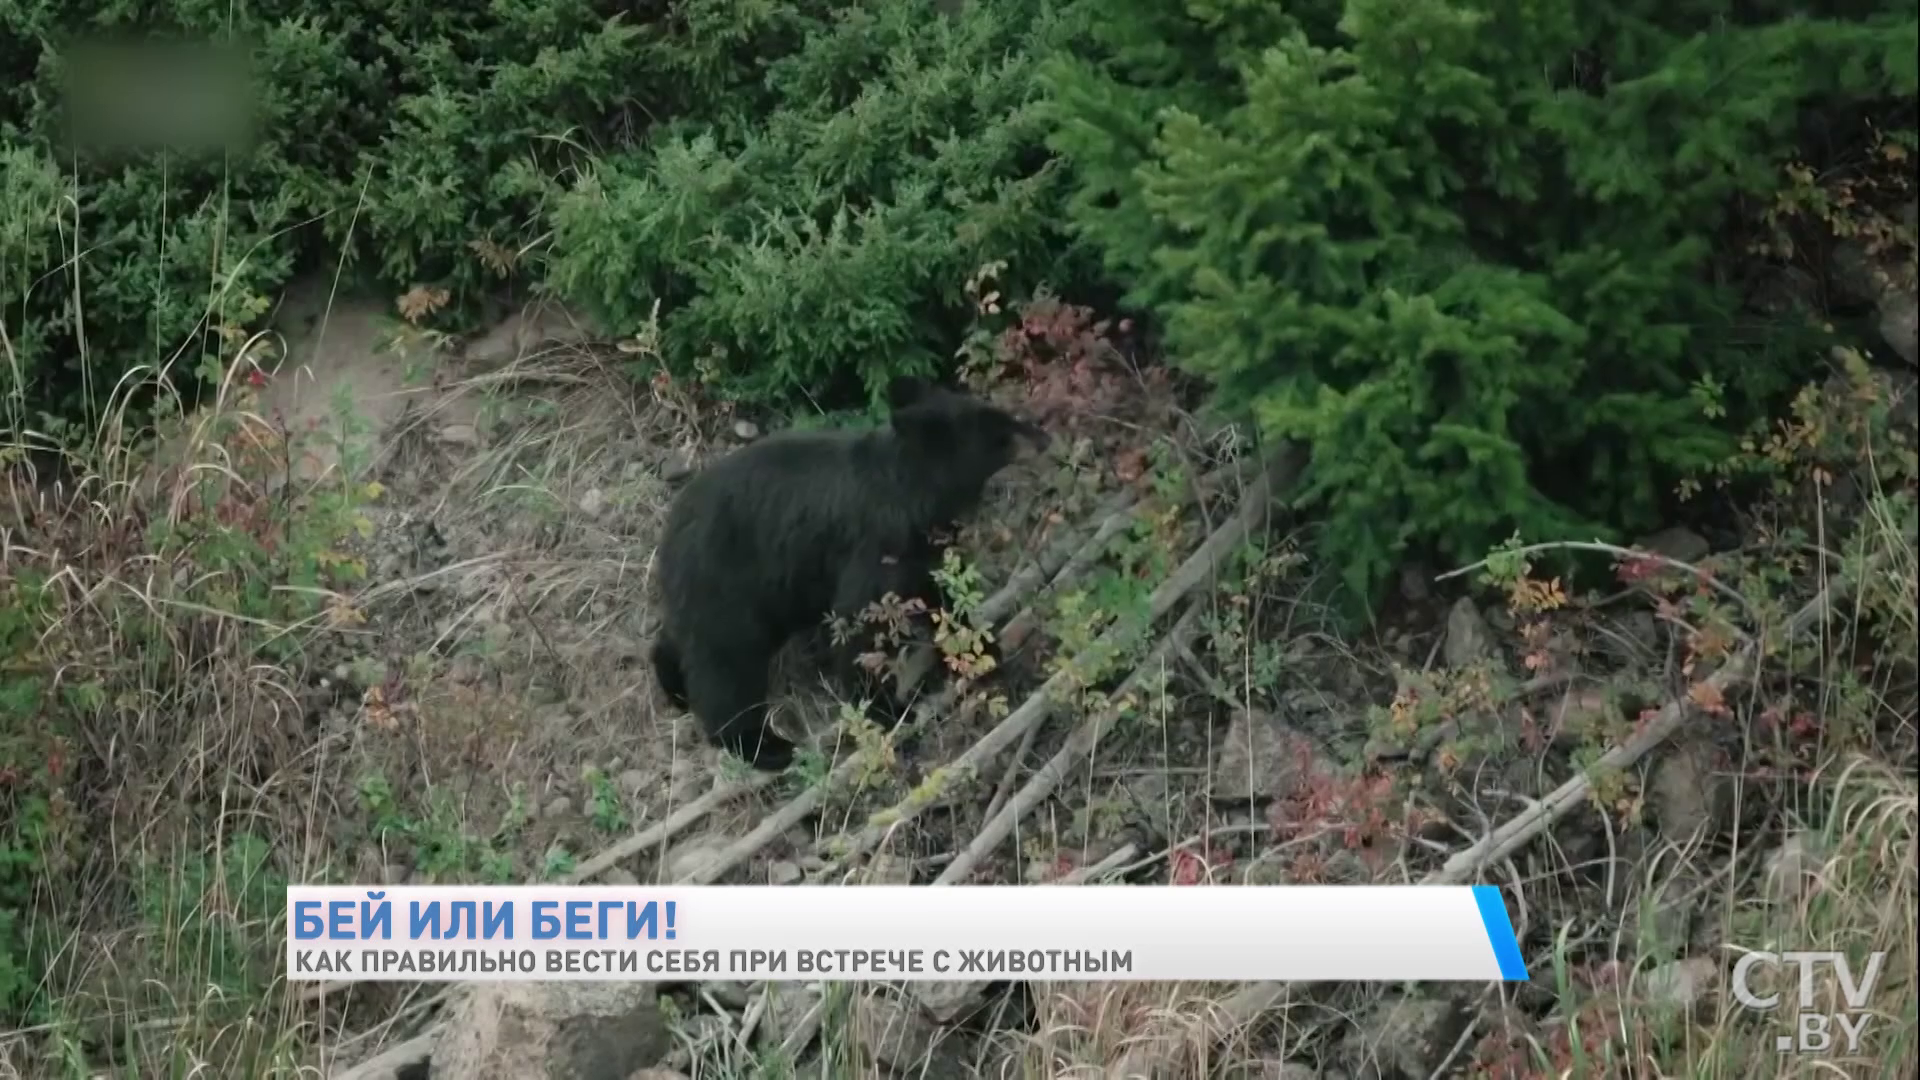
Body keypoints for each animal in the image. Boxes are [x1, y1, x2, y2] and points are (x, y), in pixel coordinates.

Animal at [656, 376, 1052, 764]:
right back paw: (763, 746)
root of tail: (668, 539)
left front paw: (984, 651)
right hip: (726, 587)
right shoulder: (874, 549)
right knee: (726, 667)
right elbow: (861, 625)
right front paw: (887, 711)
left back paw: (673, 684)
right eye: (1000, 431)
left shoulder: (921, 552)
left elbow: (942, 595)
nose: (1044, 437)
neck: (913, 494)